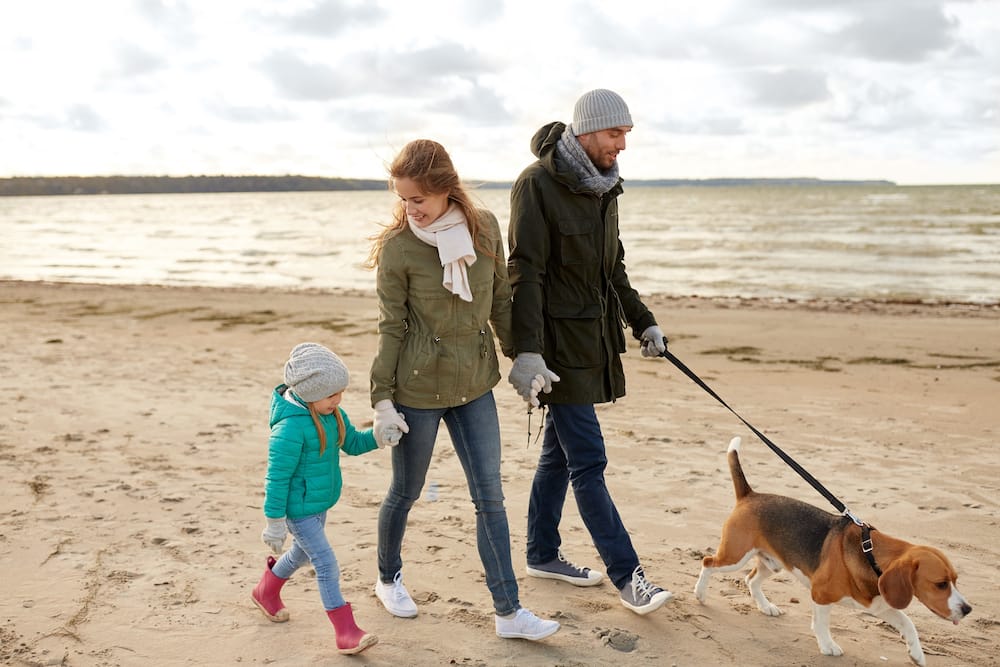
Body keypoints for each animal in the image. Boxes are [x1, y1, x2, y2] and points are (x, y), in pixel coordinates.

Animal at [696, 436, 968, 664]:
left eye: (955, 580)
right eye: (940, 584)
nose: (968, 609)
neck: (869, 554)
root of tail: (750, 495)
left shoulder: (879, 605)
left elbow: (908, 623)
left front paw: (917, 654)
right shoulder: (820, 594)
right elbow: (821, 624)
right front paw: (828, 646)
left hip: (772, 563)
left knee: (751, 580)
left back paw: (766, 607)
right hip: (734, 557)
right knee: (708, 562)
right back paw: (700, 593)